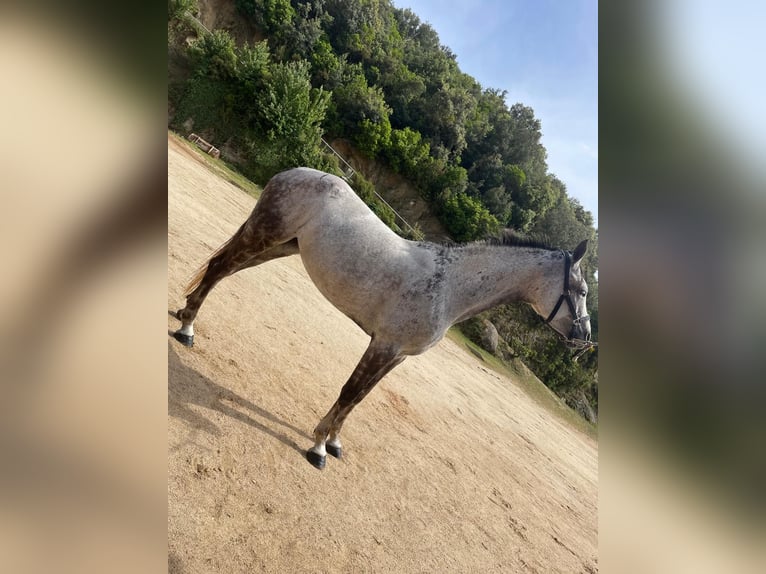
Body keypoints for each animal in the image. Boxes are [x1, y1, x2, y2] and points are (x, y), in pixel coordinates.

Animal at [171, 167, 592, 470]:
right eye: (584, 291)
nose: (585, 339)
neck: (449, 286)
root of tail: (294, 172)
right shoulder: (383, 345)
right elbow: (349, 392)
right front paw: (318, 448)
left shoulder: (397, 356)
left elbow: (359, 399)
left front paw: (335, 442)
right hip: (263, 236)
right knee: (218, 269)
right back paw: (187, 328)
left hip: (280, 246)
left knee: (221, 271)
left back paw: (185, 319)